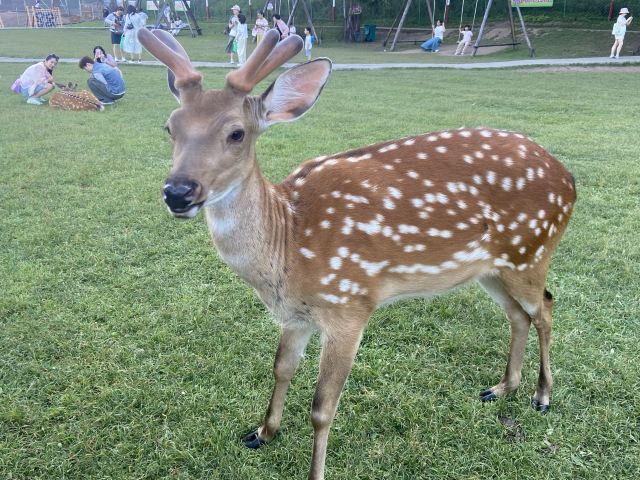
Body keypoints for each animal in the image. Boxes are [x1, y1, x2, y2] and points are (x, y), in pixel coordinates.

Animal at [138, 28, 576, 480]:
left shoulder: (350, 305)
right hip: (492, 269)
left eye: (237, 133)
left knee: (545, 307)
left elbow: (321, 408)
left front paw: (313, 471)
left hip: (532, 249)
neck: (287, 247)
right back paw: (501, 387)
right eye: (170, 127)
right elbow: (280, 368)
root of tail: (569, 178)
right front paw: (263, 432)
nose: (178, 192)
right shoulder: (294, 315)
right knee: (517, 315)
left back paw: (542, 396)